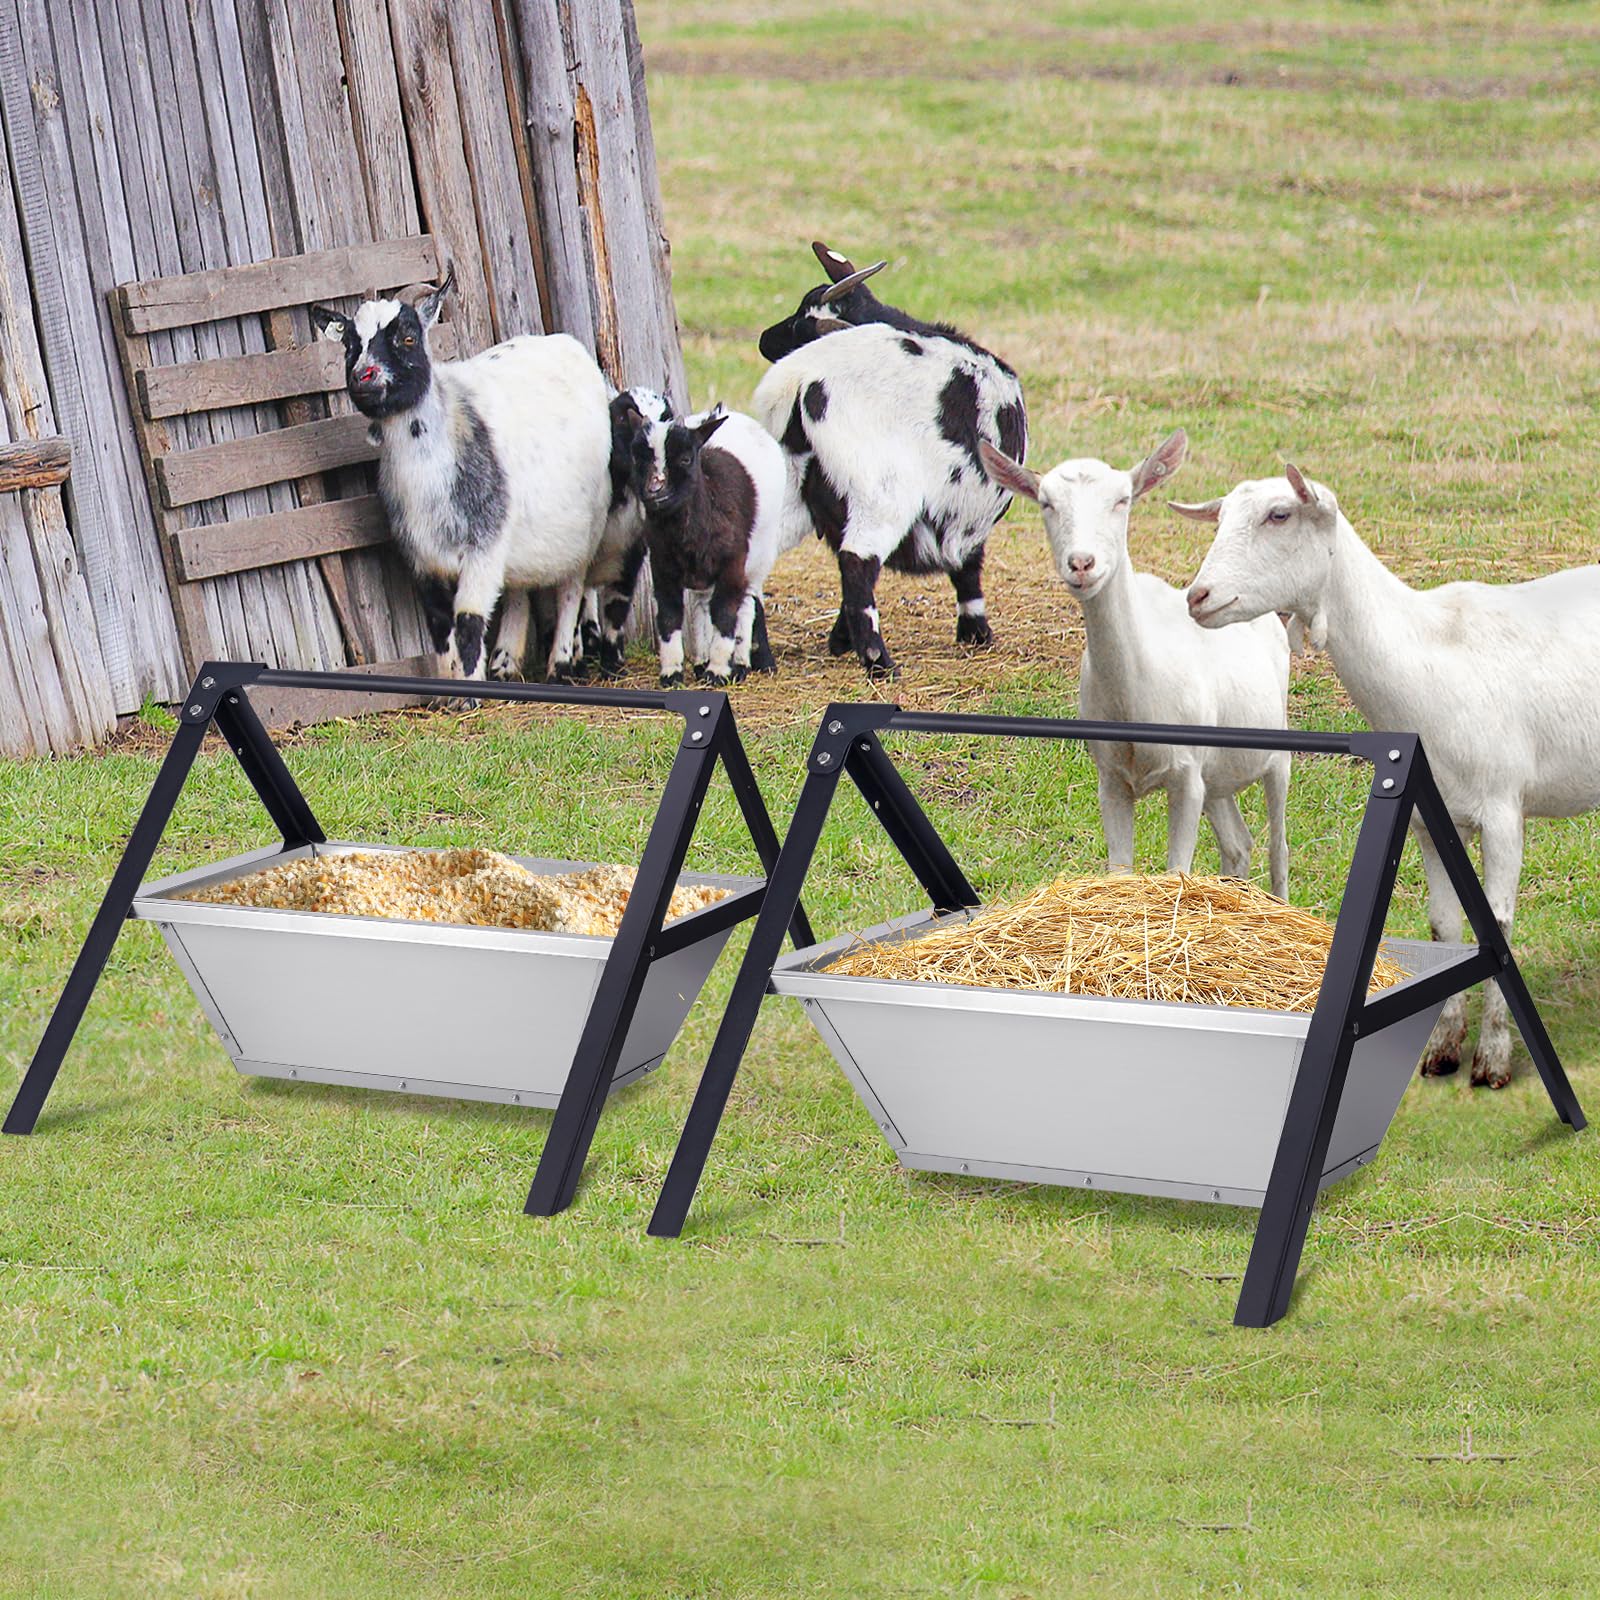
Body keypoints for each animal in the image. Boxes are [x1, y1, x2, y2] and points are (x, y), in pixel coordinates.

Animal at [311, 269, 611, 682]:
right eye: (349, 345)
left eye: (408, 337)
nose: (363, 376)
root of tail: (569, 345)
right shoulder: (423, 560)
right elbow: (440, 628)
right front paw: (451, 688)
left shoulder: (484, 547)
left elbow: (468, 623)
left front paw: (472, 688)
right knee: (518, 590)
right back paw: (504, 662)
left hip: (585, 530)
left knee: (571, 589)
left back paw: (560, 664)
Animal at [631, 403, 787, 687]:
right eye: (638, 458)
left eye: (685, 458)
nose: (655, 491)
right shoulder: (662, 566)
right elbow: (669, 616)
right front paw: (671, 673)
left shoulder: (733, 565)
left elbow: (725, 613)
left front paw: (718, 671)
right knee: (702, 605)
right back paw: (702, 661)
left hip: (760, 553)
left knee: (747, 603)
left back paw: (740, 663)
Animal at [753, 243, 1028, 676]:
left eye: (800, 320)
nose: (764, 339)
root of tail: (800, 381)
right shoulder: (970, 512)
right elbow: (969, 568)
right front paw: (975, 632)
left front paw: (838, 640)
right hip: (881, 492)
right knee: (857, 561)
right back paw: (878, 662)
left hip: (790, 485)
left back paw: (759, 657)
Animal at [982, 431, 1290, 896]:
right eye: (1045, 502)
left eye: (1122, 500)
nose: (1082, 563)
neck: (1136, 697)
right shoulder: (1111, 777)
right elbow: (1119, 870)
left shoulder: (1186, 774)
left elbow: (1177, 868)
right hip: (1217, 775)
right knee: (1239, 843)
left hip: (1277, 750)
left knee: (1278, 849)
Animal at [1180, 465, 1600, 1087]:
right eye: (1221, 516)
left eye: (1280, 514)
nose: (1197, 597)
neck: (1430, 656)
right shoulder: (1434, 817)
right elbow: (1444, 926)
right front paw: (1442, 1049)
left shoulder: (1504, 808)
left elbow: (1498, 925)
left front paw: (1493, 1060)